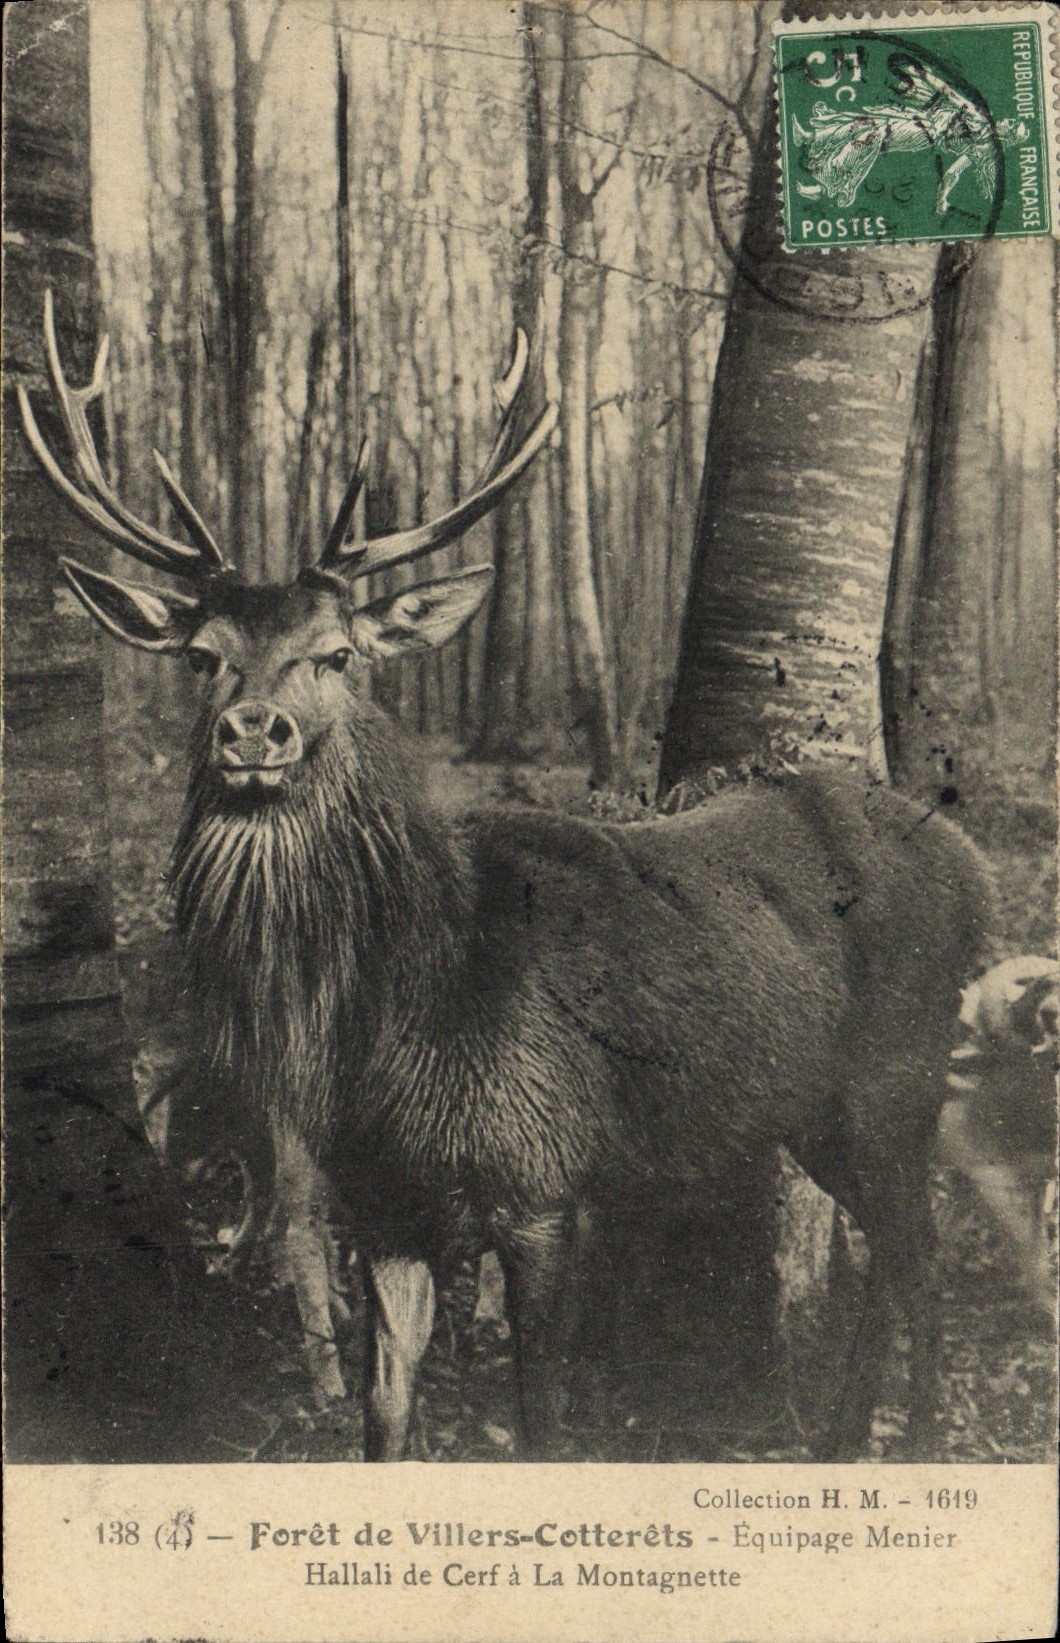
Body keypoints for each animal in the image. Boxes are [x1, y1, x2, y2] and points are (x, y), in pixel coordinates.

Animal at [21, 292, 993, 1461]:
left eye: (339, 652)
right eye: (203, 653)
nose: (254, 728)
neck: (392, 1018)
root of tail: (974, 867)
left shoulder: (546, 1176)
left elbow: (539, 1422)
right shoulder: (383, 1204)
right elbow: (384, 1415)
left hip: (897, 1079)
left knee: (922, 1262)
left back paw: (921, 1440)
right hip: (820, 1111)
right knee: (894, 1260)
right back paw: (842, 1441)